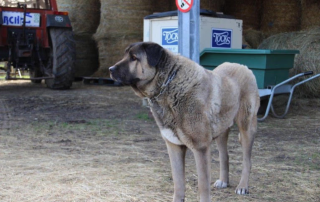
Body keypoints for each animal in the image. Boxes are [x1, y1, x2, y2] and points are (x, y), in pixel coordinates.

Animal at [110, 41, 260, 201]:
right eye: (125, 55)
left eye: (134, 58)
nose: (110, 69)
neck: (168, 85)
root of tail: (243, 66)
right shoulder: (174, 146)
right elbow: (178, 183)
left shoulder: (201, 148)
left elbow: (203, 186)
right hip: (221, 129)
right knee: (224, 155)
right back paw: (223, 181)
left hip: (246, 127)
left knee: (247, 161)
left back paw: (242, 186)